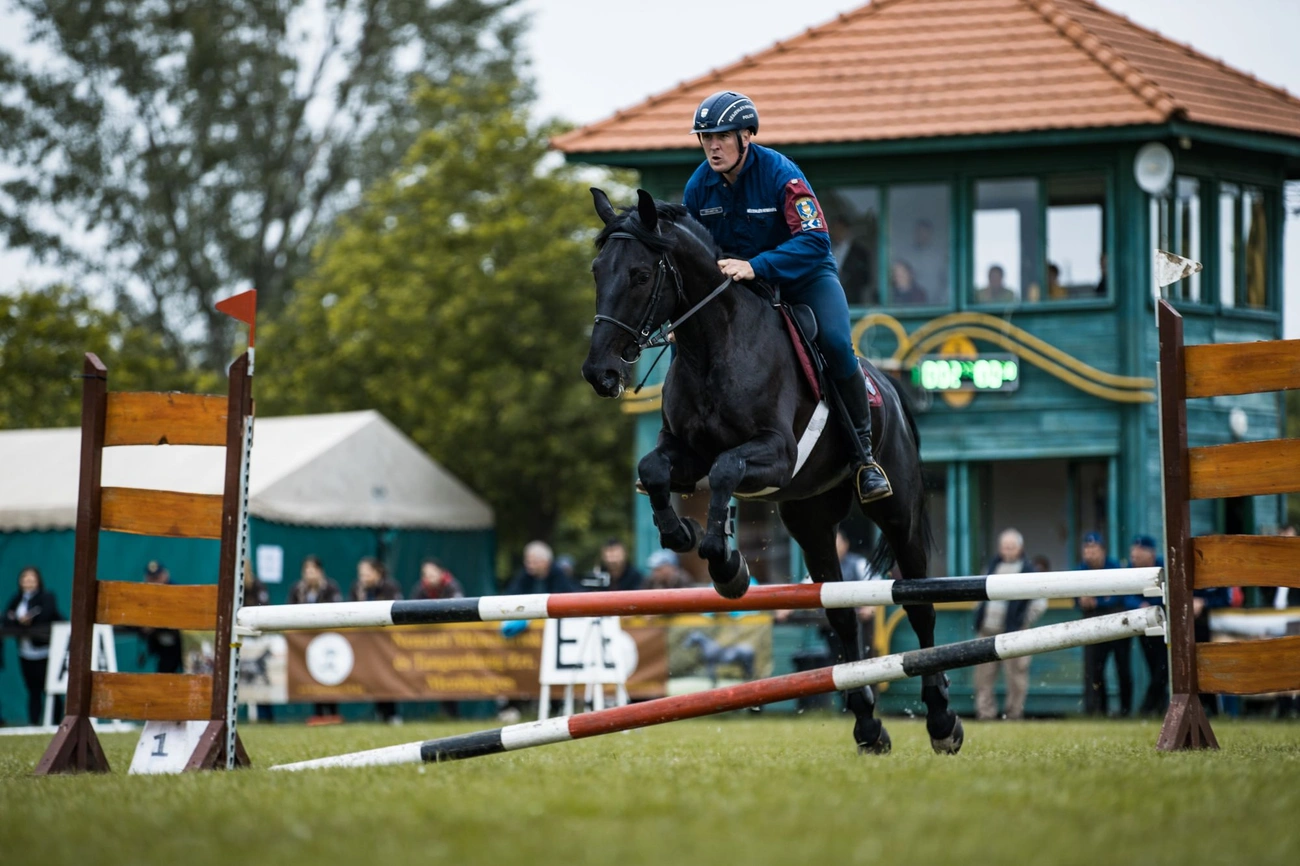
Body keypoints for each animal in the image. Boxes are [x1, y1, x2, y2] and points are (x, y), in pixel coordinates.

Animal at [581, 189, 962, 755]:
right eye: (597, 270)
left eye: (641, 275)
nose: (599, 373)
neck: (713, 343)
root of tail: (890, 390)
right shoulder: (685, 453)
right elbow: (655, 469)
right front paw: (685, 536)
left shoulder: (776, 453)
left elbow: (724, 470)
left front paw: (723, 561)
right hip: (811, 522)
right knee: (840, 615)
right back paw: (867, 726)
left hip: (898, 513)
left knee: (919, 603)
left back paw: (941, 721)